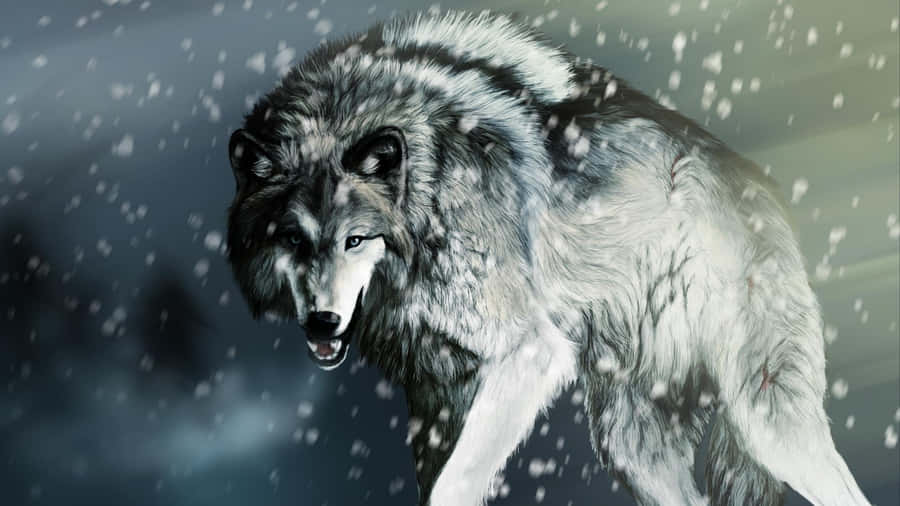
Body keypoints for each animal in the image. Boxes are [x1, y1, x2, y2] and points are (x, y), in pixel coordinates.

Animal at [224, 10, 870, 506]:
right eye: (293, 240)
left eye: (356, 240)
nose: (322, 322)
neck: (429, 189)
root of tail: (761, 185)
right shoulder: (435, 396)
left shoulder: (527, 353)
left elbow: (454, 485)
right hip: (630, 446)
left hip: (767, 422)